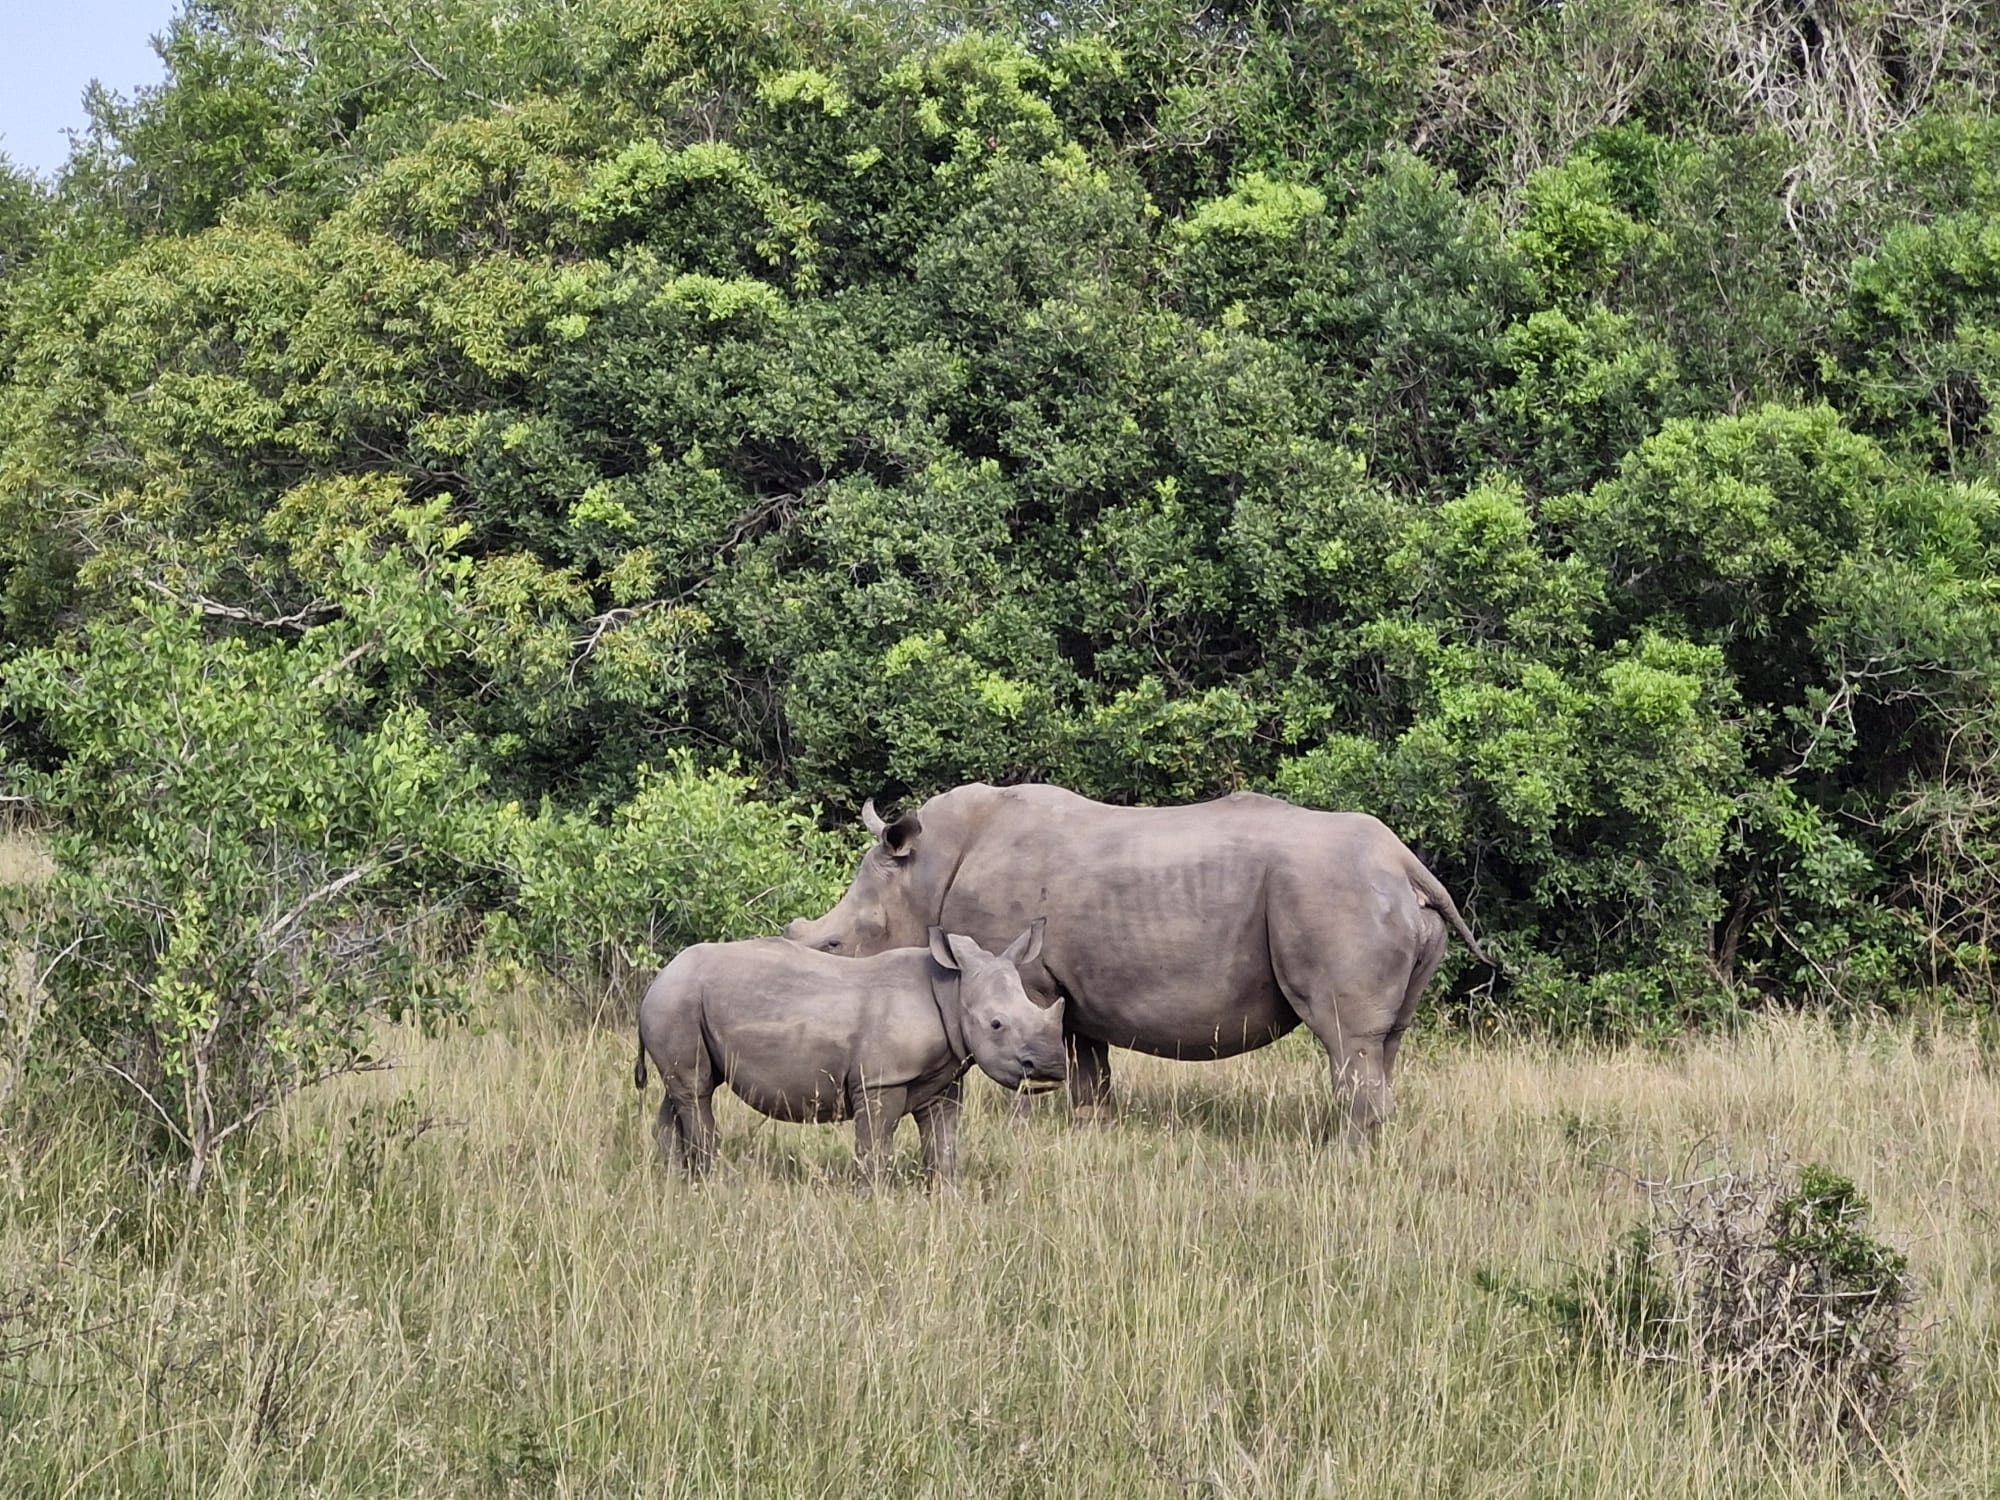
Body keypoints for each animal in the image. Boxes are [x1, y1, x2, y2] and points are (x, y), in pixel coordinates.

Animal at [633, 920, 1063, 1182]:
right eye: (996, 1025)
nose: (1053, 1066)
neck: (952, 987)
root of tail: (657, 979)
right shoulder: (879, 1081)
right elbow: (874, 1147)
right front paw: (873, 1201)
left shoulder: (944, 1078)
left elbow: (943, 1145)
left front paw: (947, 1197)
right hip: (677, 1000)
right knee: (696, 1092)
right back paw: (712, 1180)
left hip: (682, 1001)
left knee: (685, 1091)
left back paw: (676, 1182)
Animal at [783, 784, 1491, 1140]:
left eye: (836, 947)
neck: (923, 872)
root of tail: (1406, 863)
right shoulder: (1070, 989)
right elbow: (1087, 1066)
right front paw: (1092, 1132)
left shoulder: (1022, 975)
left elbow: (1037, 1048)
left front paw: (1023, 1127)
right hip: (1377, 899)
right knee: (1384, 1041)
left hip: (1333, 892)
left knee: (1346, 1038)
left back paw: (1336, 1157)